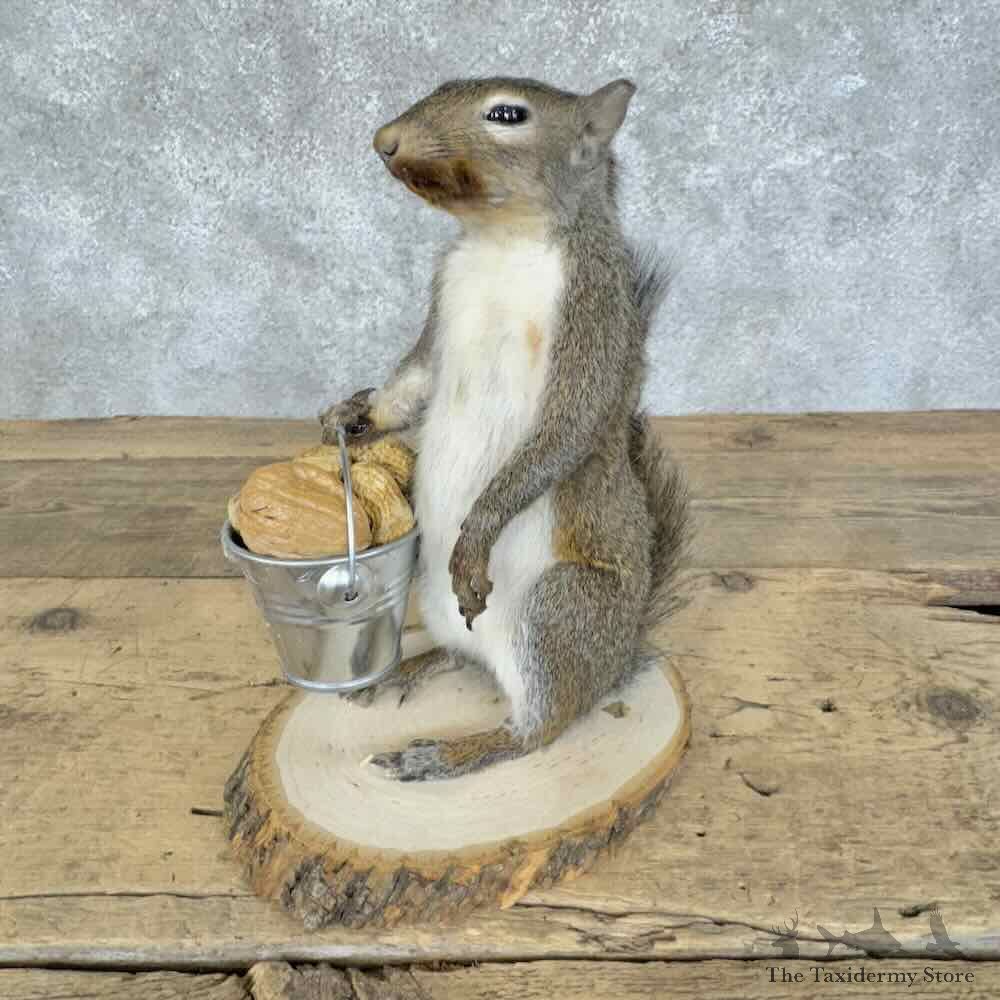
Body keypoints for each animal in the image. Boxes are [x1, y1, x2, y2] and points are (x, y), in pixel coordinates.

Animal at [320, 76, 689, 781]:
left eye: (508, 114)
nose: (385, 141)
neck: (501, 242)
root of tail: (619, 655)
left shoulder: (592, 313)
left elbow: (565, 429)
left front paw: (478, 532)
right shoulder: (441, 304)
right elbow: (413, 381)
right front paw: (353, 415)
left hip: (558, 611)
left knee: (536, 729)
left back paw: (447, 753)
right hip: (435, 600)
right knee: (462, 655)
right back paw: (404, 669)